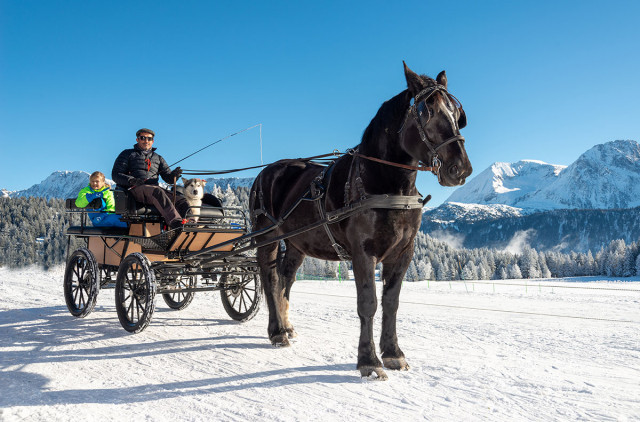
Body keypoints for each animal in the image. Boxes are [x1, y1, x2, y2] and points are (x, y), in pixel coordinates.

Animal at [249, 61, 470, 380]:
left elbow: (391, 303)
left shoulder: (403, 253)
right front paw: (369, 361)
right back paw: (277, 332)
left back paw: (287, 327)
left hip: (297, 243)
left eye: (457, 115)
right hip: (267, 237)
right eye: (426, 112)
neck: (388, 185)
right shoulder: (363, 253)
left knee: (285, 279)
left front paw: (393, 354)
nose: (461, 168)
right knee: (269, 277)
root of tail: (266, 172)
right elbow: (368, 303)